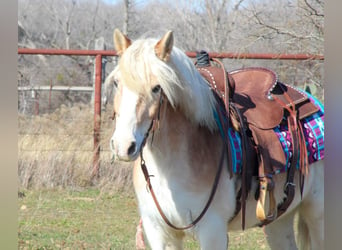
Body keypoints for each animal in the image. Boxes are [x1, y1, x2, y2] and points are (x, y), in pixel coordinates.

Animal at [107, 28, 324, 249]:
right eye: (116, 83)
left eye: (157, 88)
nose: (124, 146)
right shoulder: (159, 231)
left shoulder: (212, 230)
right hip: (278, 220)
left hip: (316, 214)